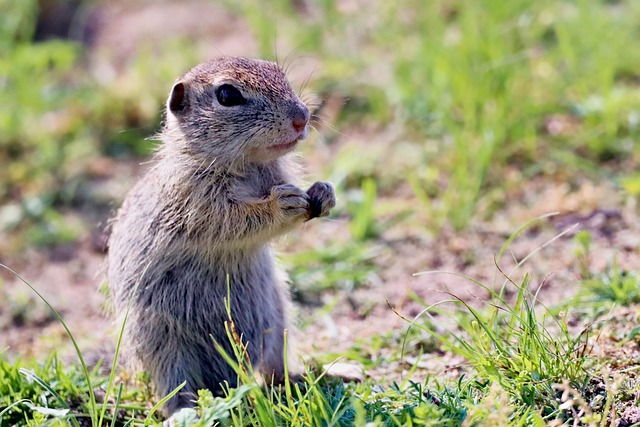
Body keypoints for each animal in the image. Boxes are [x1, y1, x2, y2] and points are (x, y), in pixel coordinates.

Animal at [106, 56, 336, 414]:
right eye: (227, 94)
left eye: (278, 70)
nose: (302, 117)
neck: (248, 166)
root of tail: (225, 380)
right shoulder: (197, 203)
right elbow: (236, 220)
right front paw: (281, 205)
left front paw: (324, 193)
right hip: (159, 340)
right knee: (175, 388)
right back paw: (185, 412)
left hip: (280, 317)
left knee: (273, 371)